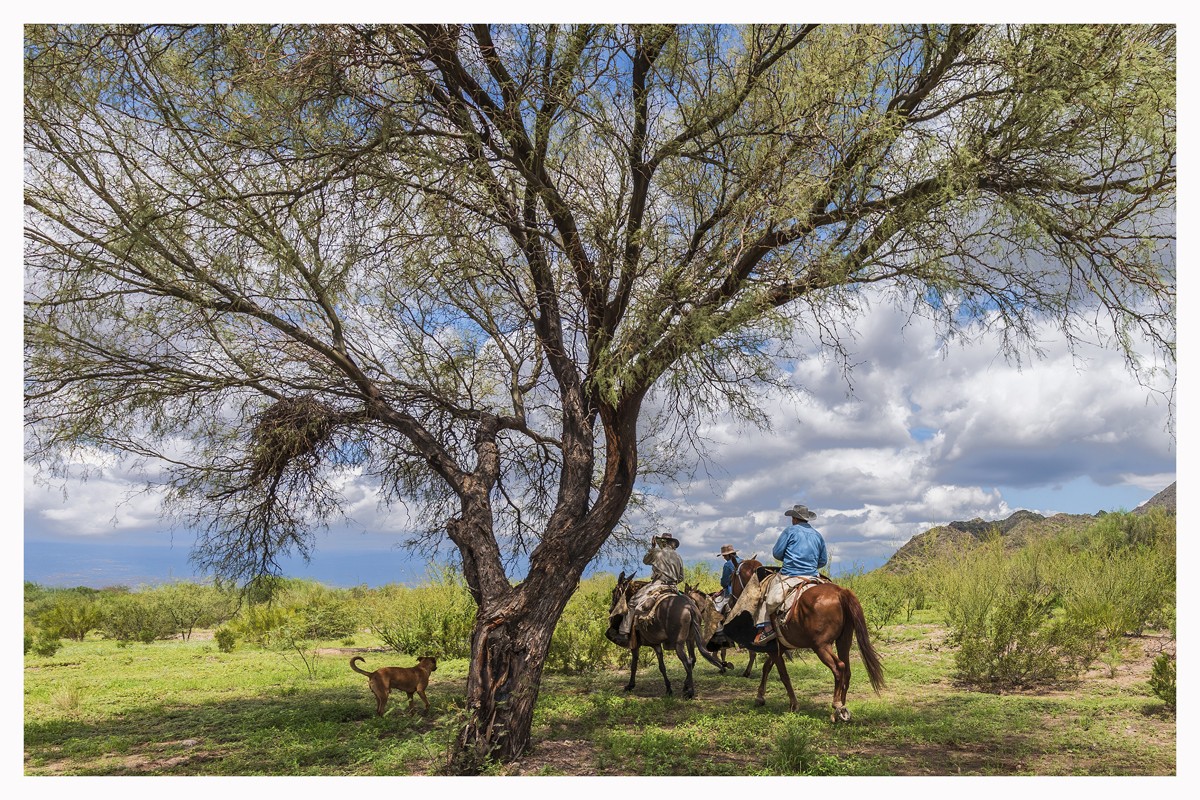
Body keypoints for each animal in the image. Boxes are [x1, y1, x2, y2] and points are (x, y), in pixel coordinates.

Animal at [715, 561, 888, 724]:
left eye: (731, 576)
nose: (728, 602)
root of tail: (840, 592)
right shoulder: (778, 647)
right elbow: (767, 668)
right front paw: (760, 697)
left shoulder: (775, 650)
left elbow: (783, 675)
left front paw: (793, 704)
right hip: (843, 640)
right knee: (847, 670)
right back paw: (840, 709)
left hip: (821, 646)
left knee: (839, 667)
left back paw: (837, 705)